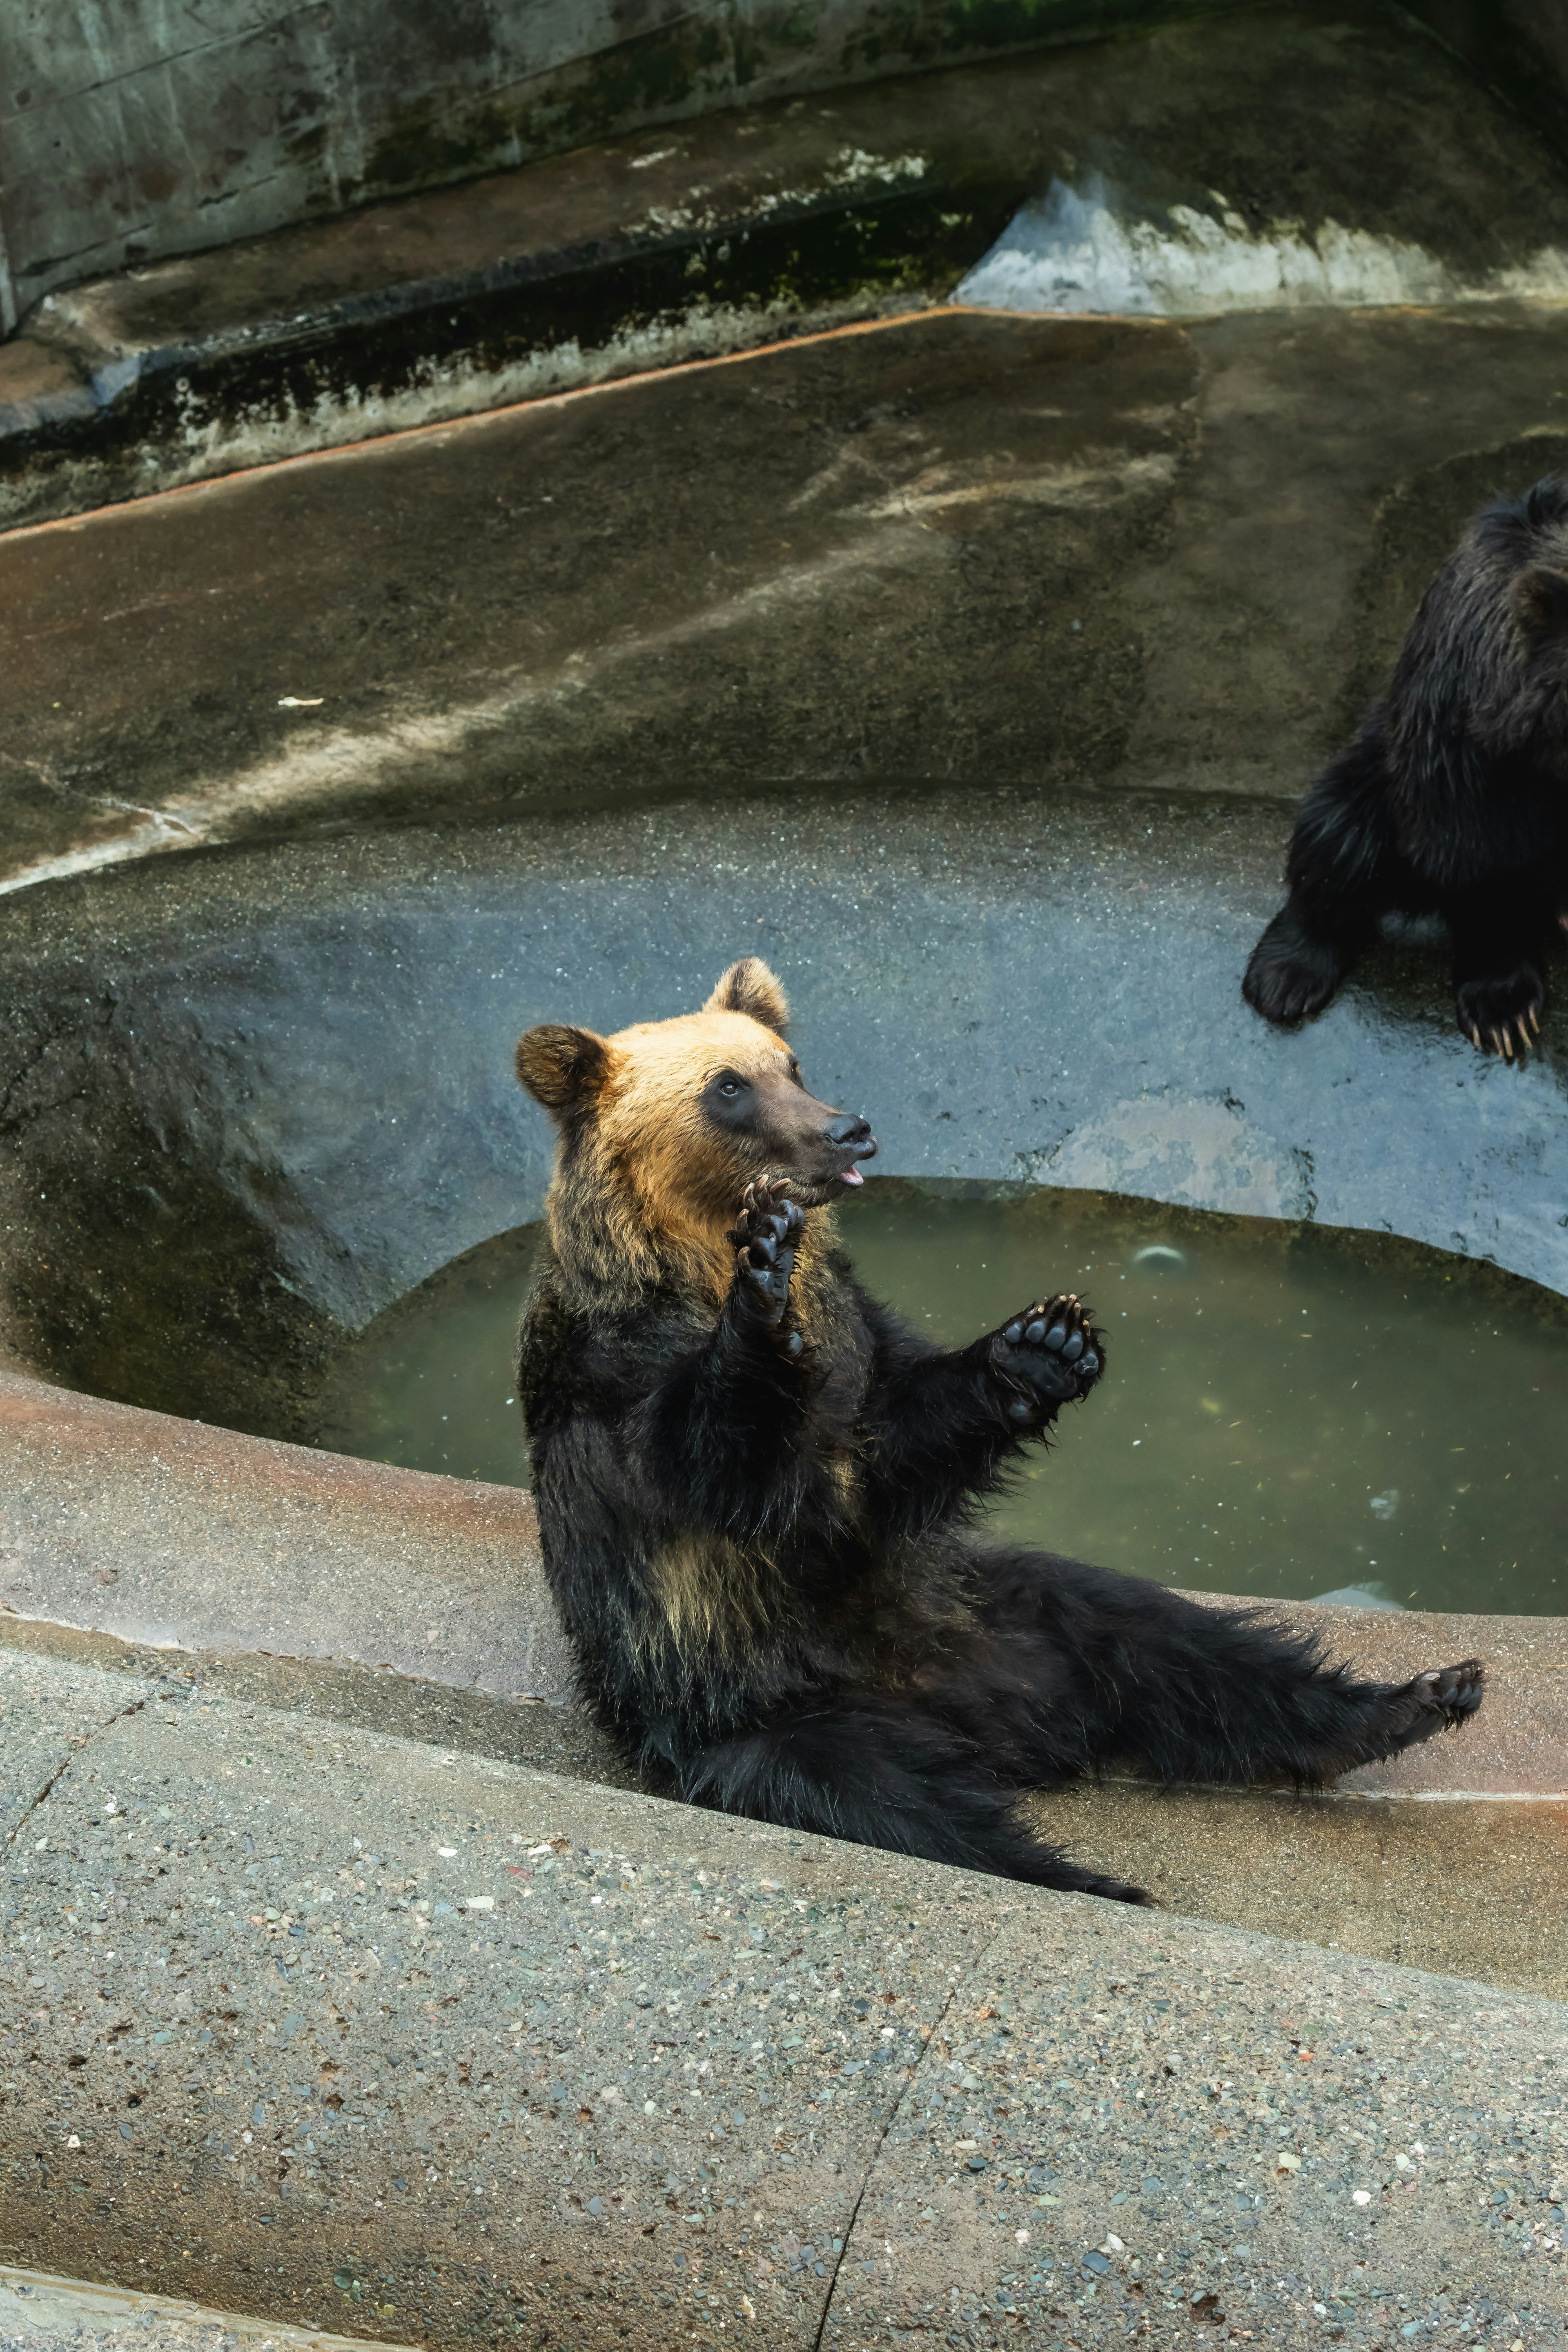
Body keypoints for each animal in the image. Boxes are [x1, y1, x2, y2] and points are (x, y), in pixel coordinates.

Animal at [514, 955, 1486, 1891]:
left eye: (791, 1066)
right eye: (727, 1087)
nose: (849, 1128)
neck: (691, 1249)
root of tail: (979, 1717)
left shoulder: (857, 1332)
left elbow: (892, 1446)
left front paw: (1045, 1344)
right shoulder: (619, 1368)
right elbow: (726, 1469)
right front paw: (762, 1294)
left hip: (1006, 1608)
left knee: (1183, 1650)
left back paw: (1416, 1699)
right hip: (753, 1709)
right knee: (896, 1802)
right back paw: (1089, 1877)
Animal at [1250, 472, 1568, 1054]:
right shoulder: (1469, 742)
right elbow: (1481, 853)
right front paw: (1503, 1005)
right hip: (1379, 765)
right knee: (1339, 834)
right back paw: (1286, 975)